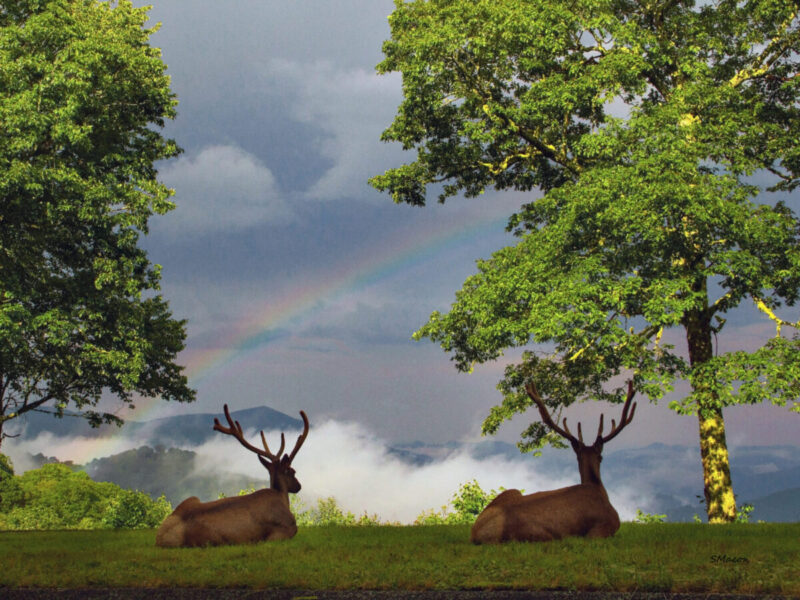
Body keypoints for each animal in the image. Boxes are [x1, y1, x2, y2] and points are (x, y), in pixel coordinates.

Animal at [155, 406, 310, 548]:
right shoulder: (285, 529)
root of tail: (160, 539)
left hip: (191, 498)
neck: (282, 497)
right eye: (292, 471)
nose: (299, 486)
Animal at [468, 380, 636, 544]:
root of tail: (475, 534)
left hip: (511, 491)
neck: (597, 487)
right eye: (601, 457)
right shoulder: (604, 526)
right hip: (539, 535)